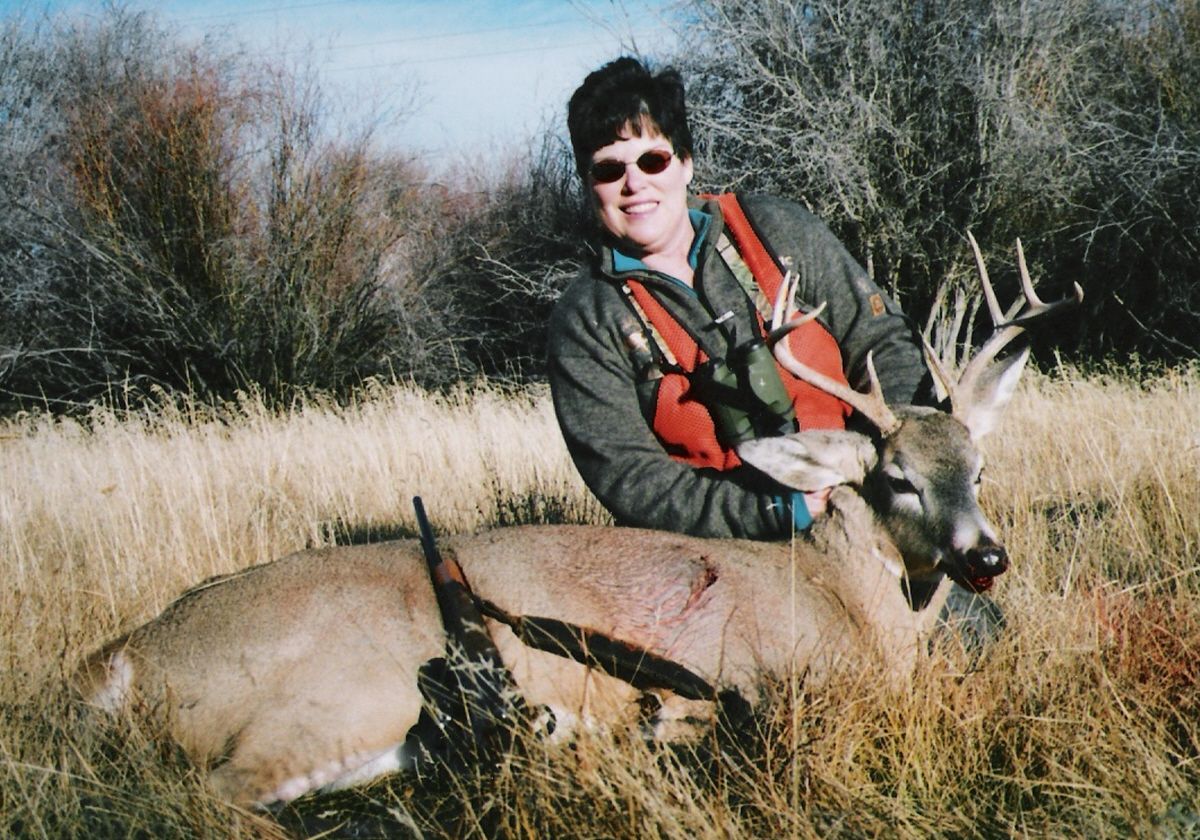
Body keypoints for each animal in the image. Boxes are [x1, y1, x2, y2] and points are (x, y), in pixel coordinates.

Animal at [72, 235, 1081, 808]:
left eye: (980, 470)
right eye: (897, 480)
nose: (986, 557)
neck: (850, 600)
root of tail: (124, 657)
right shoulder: (784, 679)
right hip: (338, 695)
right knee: (203, 799)